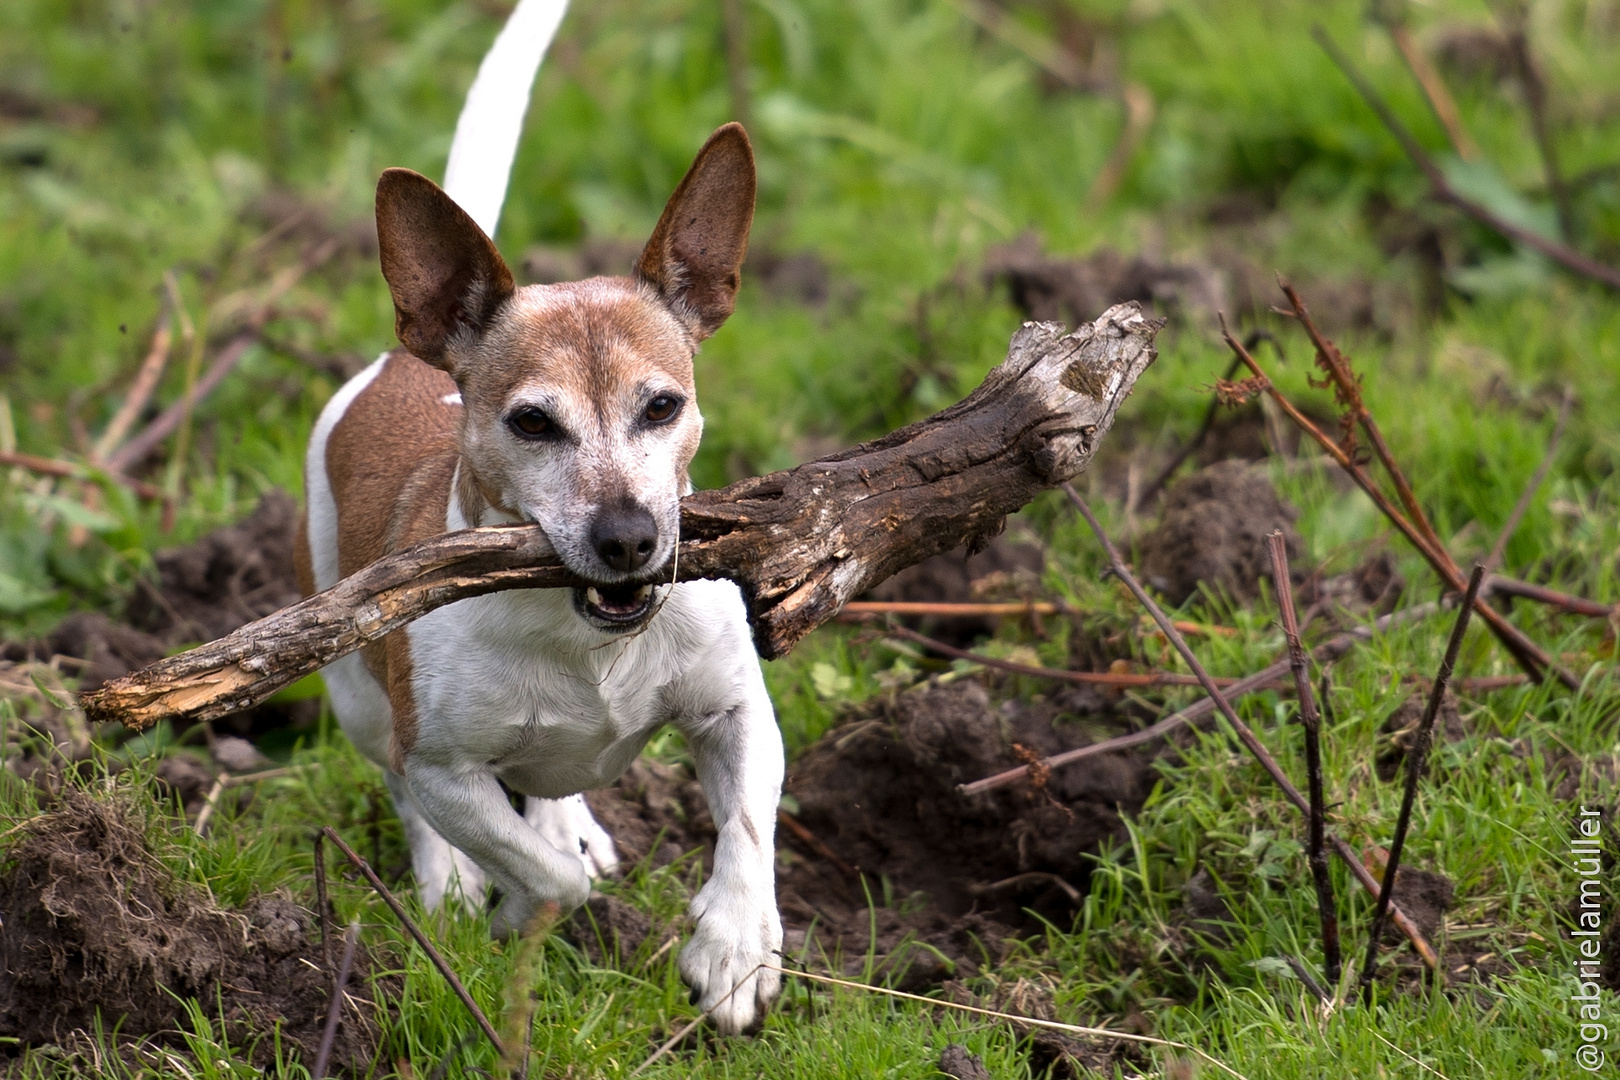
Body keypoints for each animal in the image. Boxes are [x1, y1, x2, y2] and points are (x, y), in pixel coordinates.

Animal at [301, 122, 787, 1036]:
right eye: (532, 422)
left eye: (662, 407)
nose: (629, 538)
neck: (583, 637)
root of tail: (401, 358)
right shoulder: (444, 769)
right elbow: (540, 874)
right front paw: (515, 914)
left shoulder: (735, 712)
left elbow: (746, 827)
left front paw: (735, 949)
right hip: (360, 701)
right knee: (405, 791)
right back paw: (450, 883)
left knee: (557, 784)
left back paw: (570, 825)